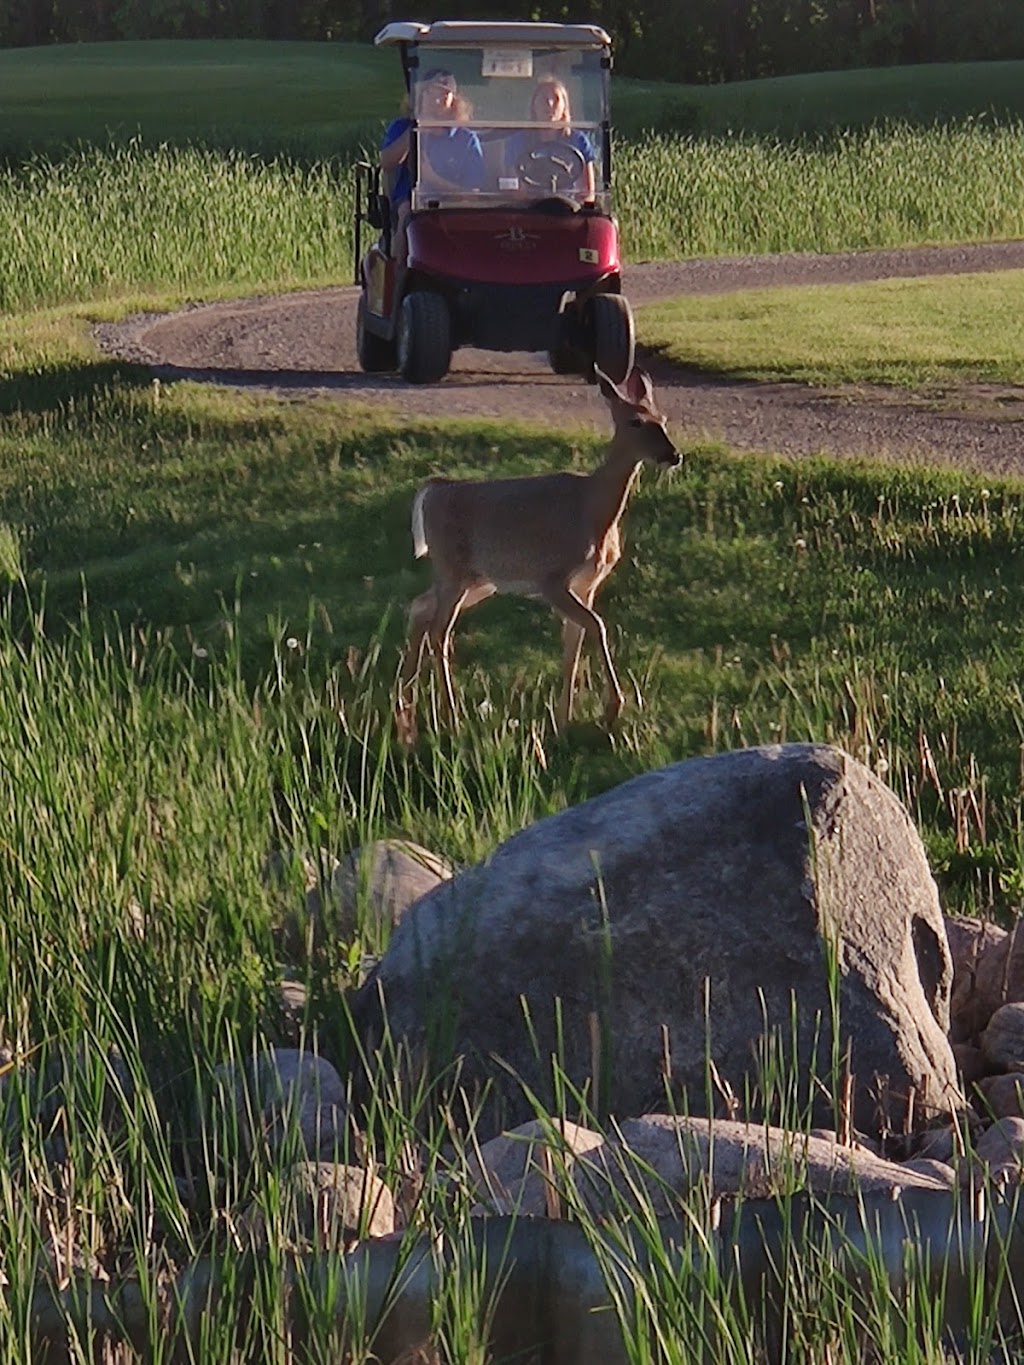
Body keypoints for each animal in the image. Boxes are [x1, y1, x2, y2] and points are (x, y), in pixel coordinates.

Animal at [398, 363, 682, 742]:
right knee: (438, 631)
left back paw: (406, 714)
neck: (592, 510)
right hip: (452, 569)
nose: (674, 456)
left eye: (662, 419)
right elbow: (597, 626)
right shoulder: (552, 578)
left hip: (477, 580)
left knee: (419, 609)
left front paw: (563, 722)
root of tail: (433, 489)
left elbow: (573, 644)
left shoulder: (587, 584)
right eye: (636, 422)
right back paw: (451, 718)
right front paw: (612, 708)